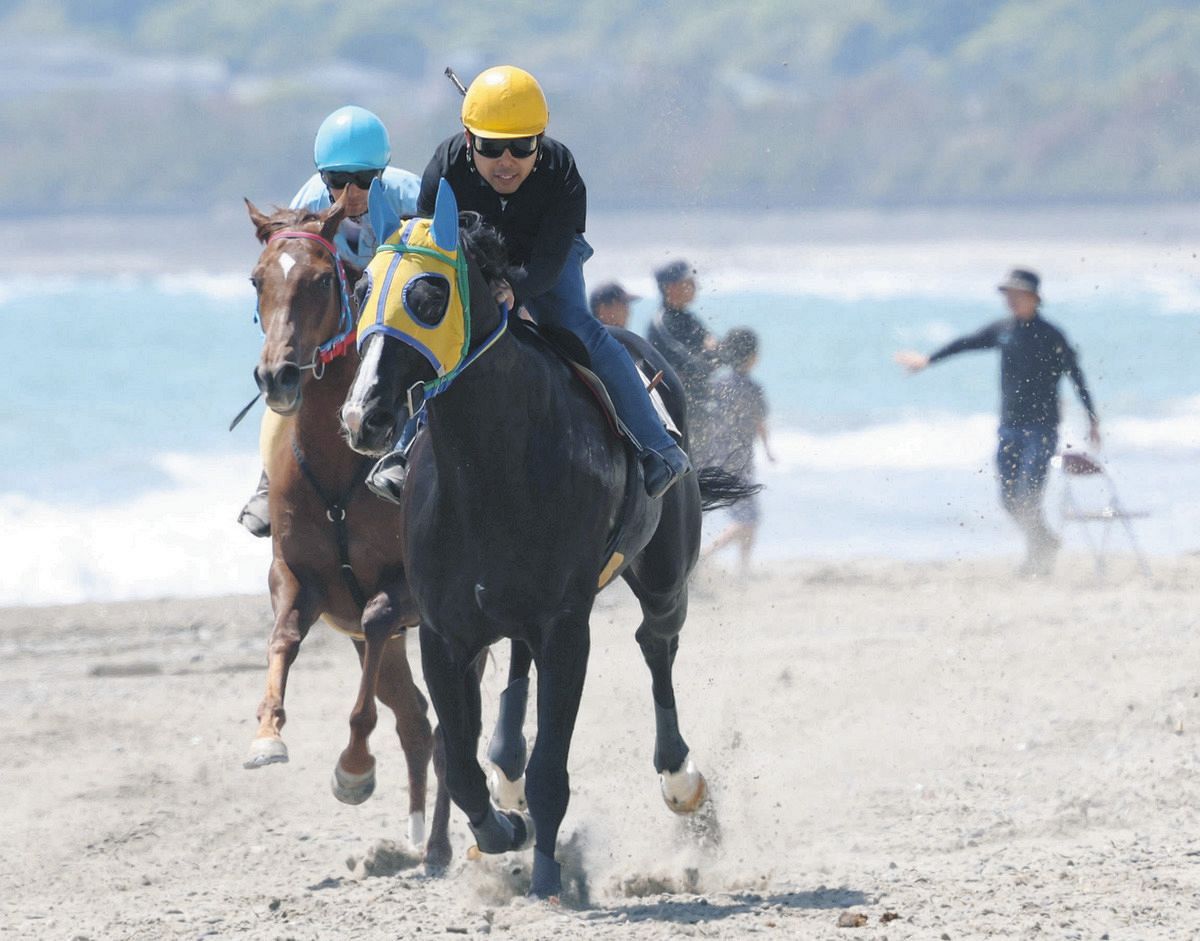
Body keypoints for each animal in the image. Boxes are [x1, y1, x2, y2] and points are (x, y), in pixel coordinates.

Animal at [239, 196, 451, 869]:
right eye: (258, 280)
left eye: (321, 282)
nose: (277, 376)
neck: (340, 464)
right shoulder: (298, 578)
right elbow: (282, 636)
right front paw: (266, 736)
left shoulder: (405, 594)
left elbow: (381, 617)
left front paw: (354, 768)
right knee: (419, 720)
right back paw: (424, 839)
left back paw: (444, 839)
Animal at [339, 179, 754, 897]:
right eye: (362, 288)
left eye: (428, 296)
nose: (363, 414)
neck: (489, 463)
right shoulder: (445, 630)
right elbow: (463, 763)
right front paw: (503, 829)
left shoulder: (566, 624)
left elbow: (551, 769)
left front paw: (546, 875)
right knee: (516, 685)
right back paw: (508, 773)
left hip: (665, 573)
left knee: (656, 642)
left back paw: (682, 781)